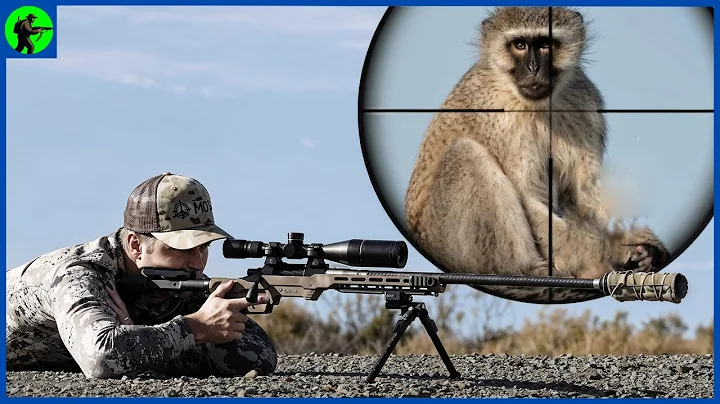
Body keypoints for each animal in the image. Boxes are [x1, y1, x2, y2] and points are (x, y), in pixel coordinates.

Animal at [403, 6, 670, 303]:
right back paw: (526, 270)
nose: (533, 68)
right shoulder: (498, 119)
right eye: (519, 45)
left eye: (545, 44)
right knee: (466, 154)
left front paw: (647, 248)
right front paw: (610, 254)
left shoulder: (585, 101)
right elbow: (528, 198)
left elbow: (584, 192)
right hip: (447, 241)